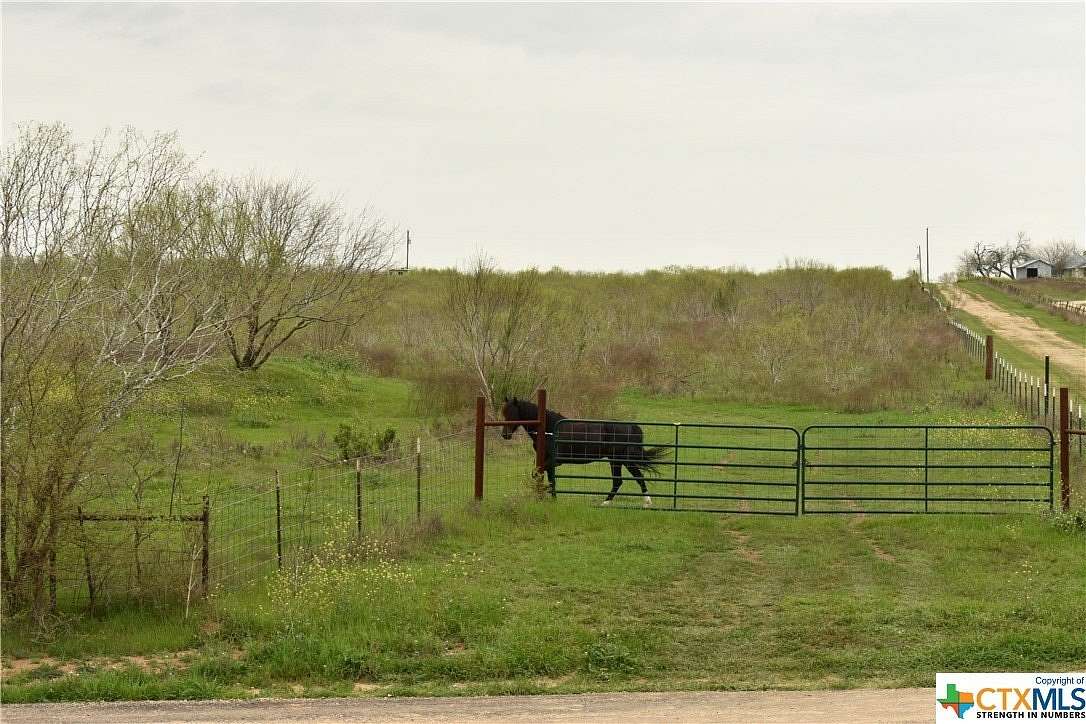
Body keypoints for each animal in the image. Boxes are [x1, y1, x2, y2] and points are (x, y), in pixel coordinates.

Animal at [497, 397, 664, 510]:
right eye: (504, 413)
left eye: (512, 413)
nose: (505, 435)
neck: (549, 430)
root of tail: (631, 427)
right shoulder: (549, 461)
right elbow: (550, 479)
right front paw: (553, 500)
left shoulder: (554, 461)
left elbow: (538, 474)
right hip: (616, 460)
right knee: (623, 480)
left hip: (621, 459)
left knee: (632, 478)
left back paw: (641, 503)